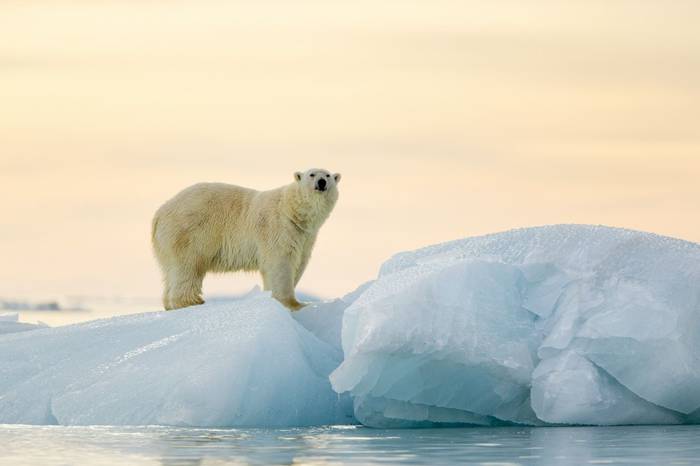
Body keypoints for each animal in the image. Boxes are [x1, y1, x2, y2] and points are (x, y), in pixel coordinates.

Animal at [152, 169, 340, 312]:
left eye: (328, 175)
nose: (322, 182)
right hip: (189, 233)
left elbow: (299, 262)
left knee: (171, 271)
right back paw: (192, 302)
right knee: (188, 267)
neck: (293, 212)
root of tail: (160, 212)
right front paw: (295, 304)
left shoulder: (305, 237)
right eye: (312, 174)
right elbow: (281, 264)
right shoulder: (278, 229)